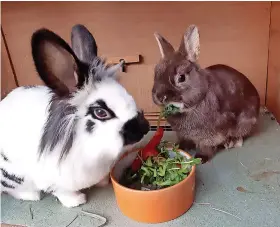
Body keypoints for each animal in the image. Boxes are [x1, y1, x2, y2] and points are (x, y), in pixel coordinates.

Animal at [0, 24, 150, 207]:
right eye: (101, 113)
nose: (145, 127)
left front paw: (103, 183)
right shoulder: (54, 180)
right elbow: (63, 192)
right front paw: (77, 201)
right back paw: (31, 196)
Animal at [152, 25, 260, 163]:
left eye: (181, 77)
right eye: (156, 73)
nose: (160, 97)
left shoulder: (211, 135)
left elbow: (206, 146)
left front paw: (201, 158)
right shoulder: (182, 134)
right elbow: (184, 140)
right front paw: (179, 147)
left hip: (246, 121)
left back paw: (233, 142)